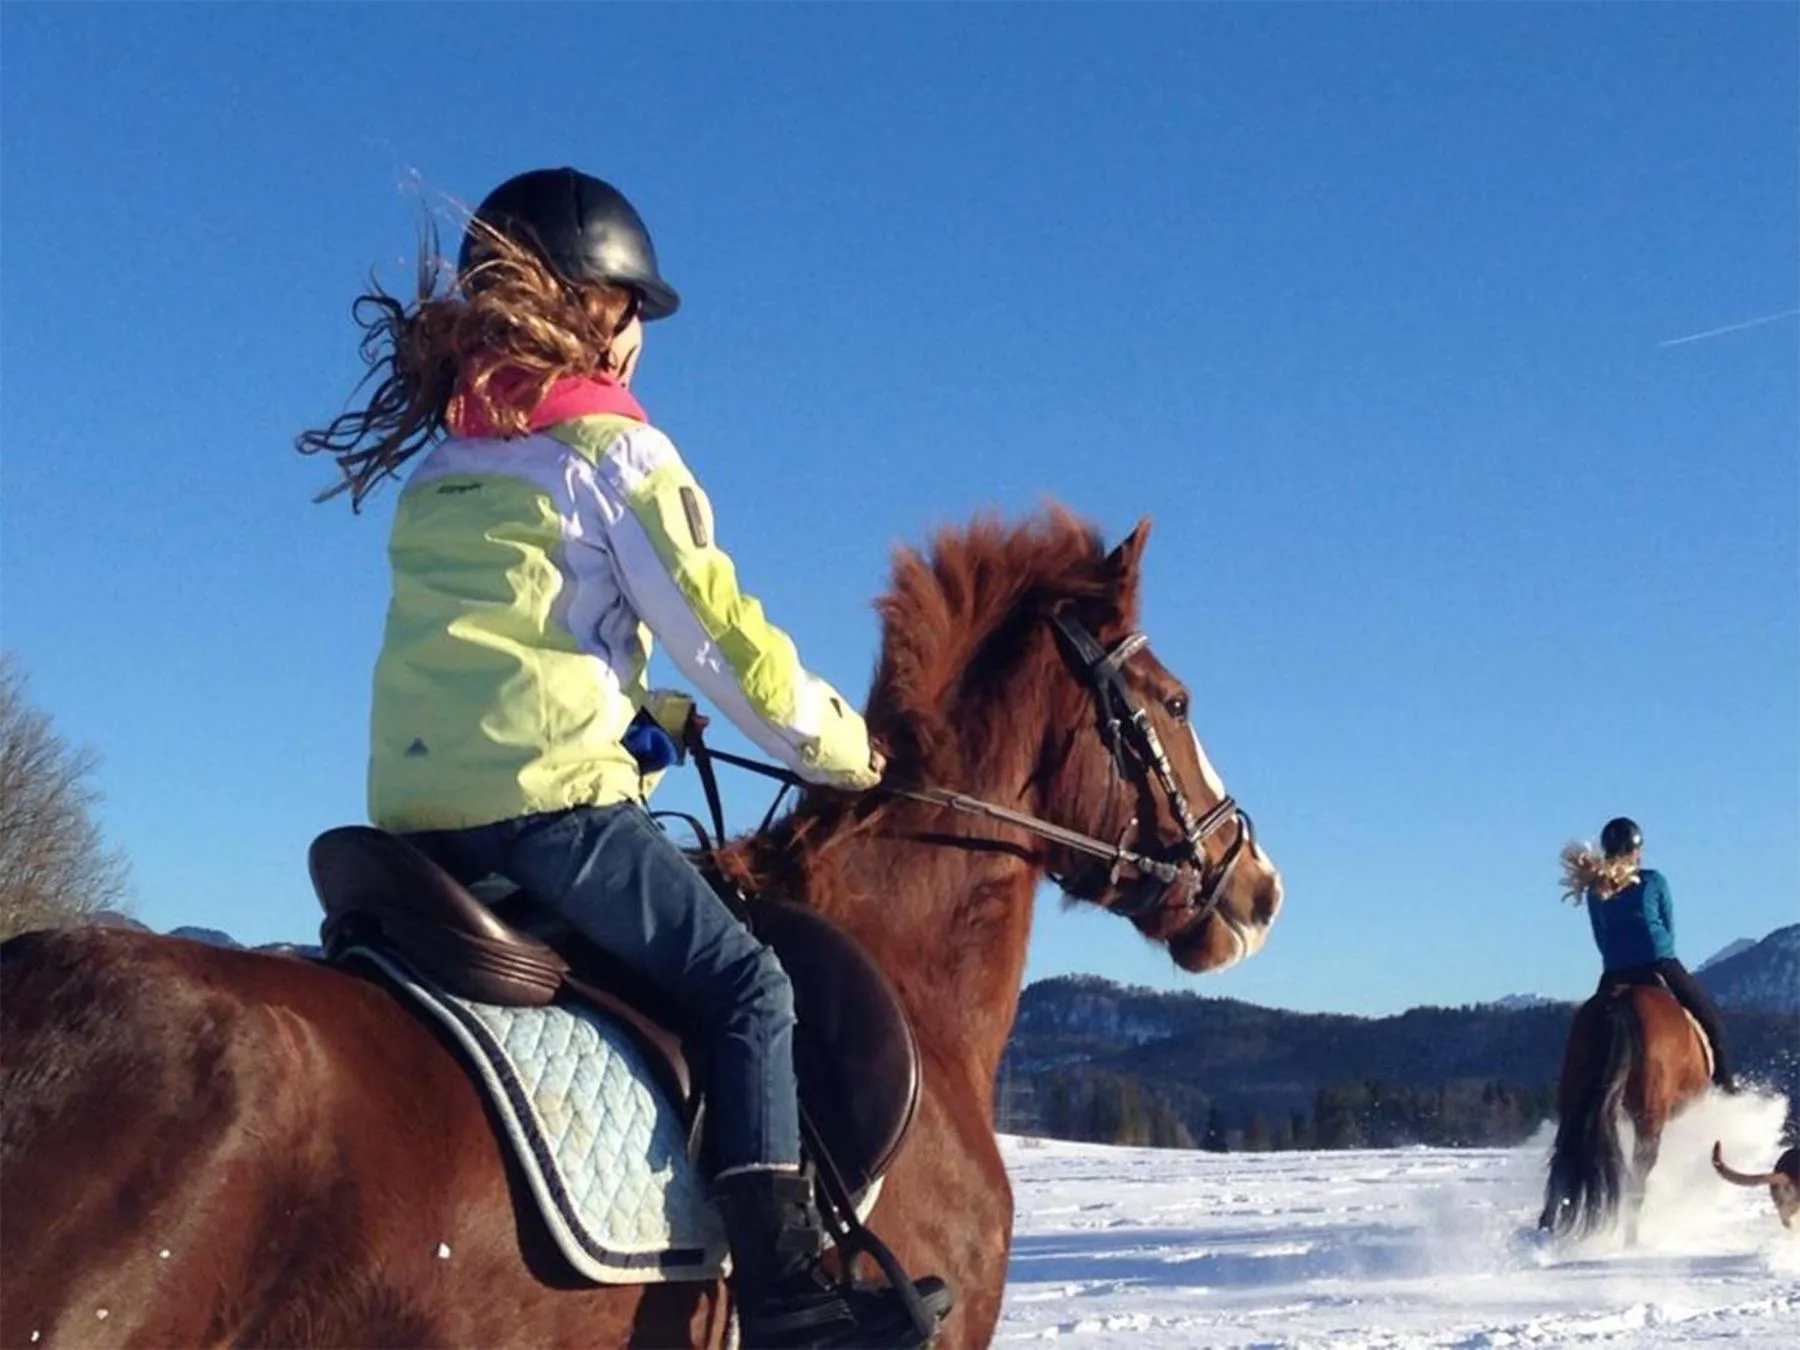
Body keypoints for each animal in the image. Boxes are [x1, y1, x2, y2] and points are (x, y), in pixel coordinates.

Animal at [1537, 981, 1712, 1244]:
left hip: (1573, 1104)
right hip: (1649, 1117)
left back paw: (1544, 1228)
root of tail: (1621, 1001)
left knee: (1562, 1163)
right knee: (1638, 1176)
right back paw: (1631, 1240)